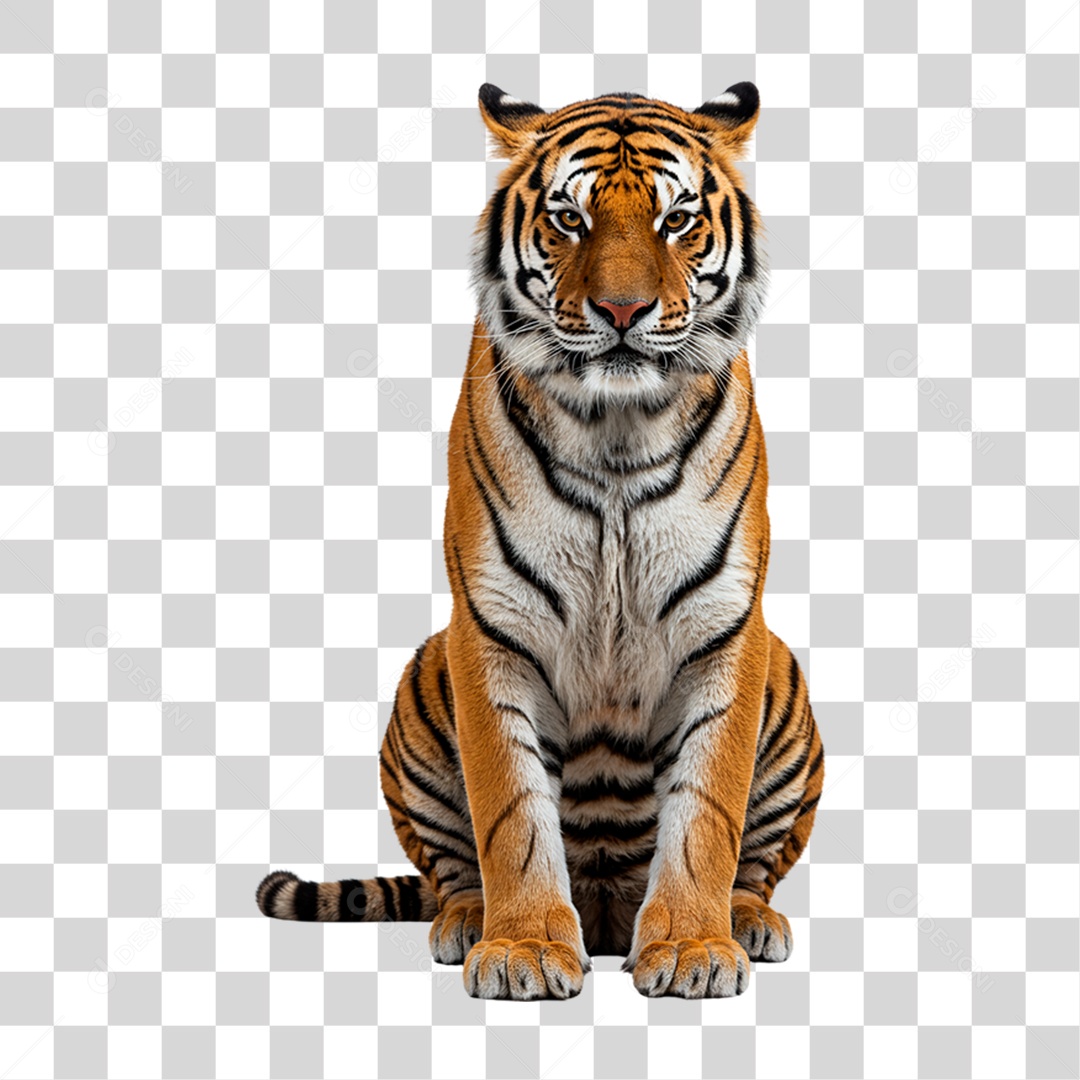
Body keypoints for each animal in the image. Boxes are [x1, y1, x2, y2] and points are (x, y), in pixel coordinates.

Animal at [258, 82, 823, 1001]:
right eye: (568, 217)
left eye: (675, 220)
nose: (622, 310)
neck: (618, 431)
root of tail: (606, 913)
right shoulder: (492, 626)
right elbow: (511, 812)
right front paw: (521, 949)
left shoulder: (725, 628)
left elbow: (708, 812)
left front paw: (693, 948)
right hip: (424, 674)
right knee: (454, 867)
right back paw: (464, 921)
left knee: (754, 861)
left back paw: (747, 918)